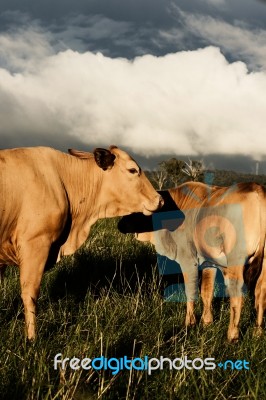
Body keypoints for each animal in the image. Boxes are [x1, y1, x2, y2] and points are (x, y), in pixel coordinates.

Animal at [119, 183, 266, 342]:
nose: (120, 225)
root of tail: (257, 189)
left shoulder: (188, 260)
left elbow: (191, 291)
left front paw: (189, 323)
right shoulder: (209, 263)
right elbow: (206, 291)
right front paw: (206, 322)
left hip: (235, 261)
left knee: (237, 296)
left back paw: (232, 335)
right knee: (260, 293)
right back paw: (257, 332)